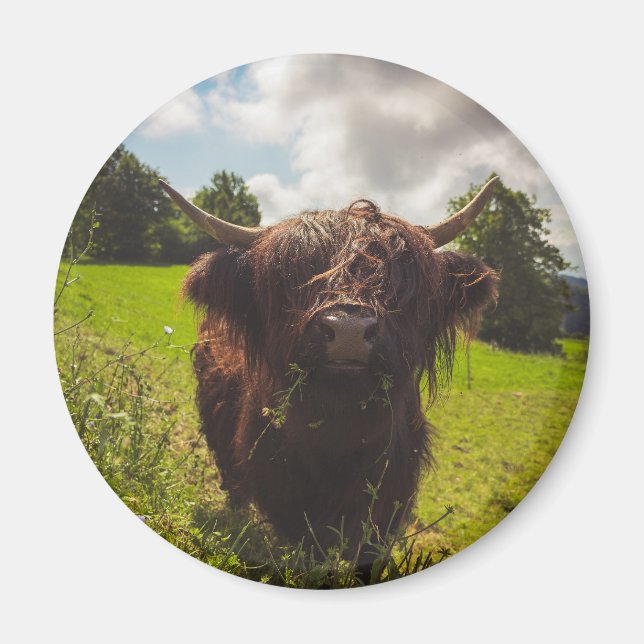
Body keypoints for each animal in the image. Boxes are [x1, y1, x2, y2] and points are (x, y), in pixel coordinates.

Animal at [160, 177, 499, 581]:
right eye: (293, 276)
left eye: (398, 279)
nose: (349, 330)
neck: (338, 435)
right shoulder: (285, 497)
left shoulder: (389, 499)